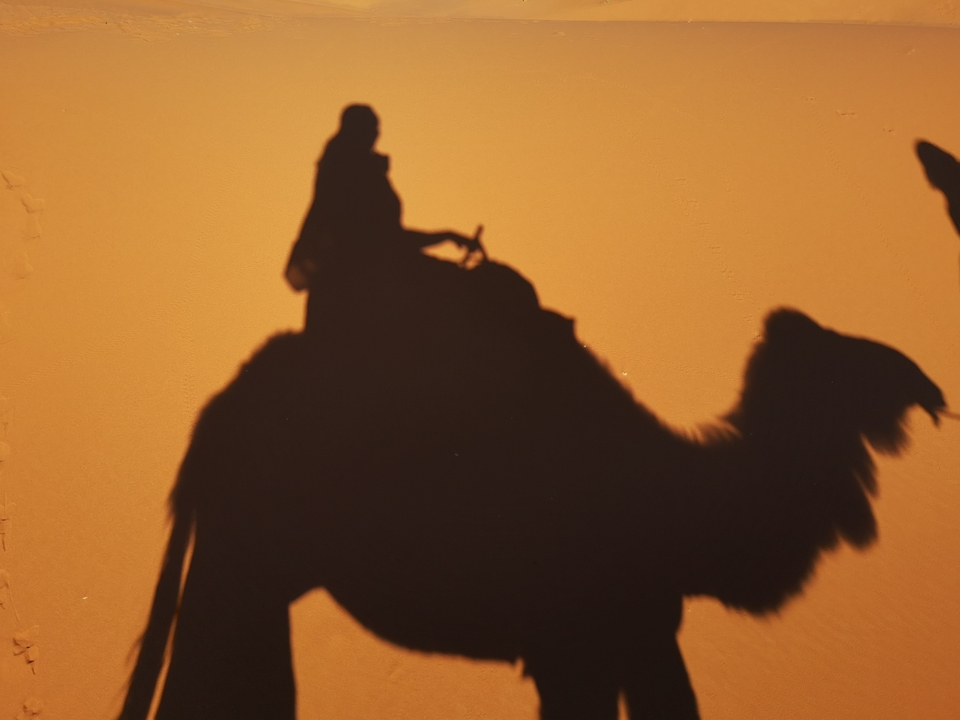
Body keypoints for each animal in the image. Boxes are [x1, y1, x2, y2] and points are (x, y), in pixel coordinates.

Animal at [117, 253, 944, 720]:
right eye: (849, 361)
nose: (928, 388)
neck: (679, 496)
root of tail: (219, 410)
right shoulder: (581, 637)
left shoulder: (633, 629)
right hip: (250, 554)